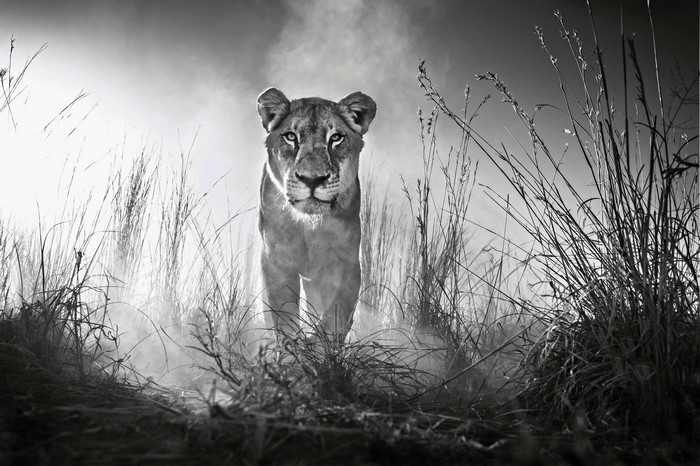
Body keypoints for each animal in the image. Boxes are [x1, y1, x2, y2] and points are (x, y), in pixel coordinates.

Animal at [256, 87, 376, 343]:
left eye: (336, 138)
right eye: (290, 137)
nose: (312, 179)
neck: (309, 227)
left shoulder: (345, 262)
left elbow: (335, 314)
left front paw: (316, 346)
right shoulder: (275, 260)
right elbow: (283, 315)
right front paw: (291, 348)